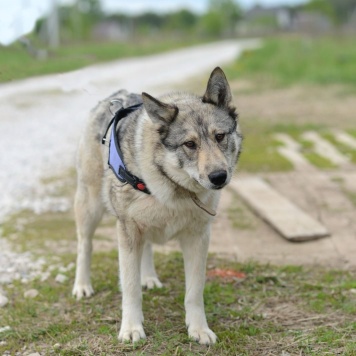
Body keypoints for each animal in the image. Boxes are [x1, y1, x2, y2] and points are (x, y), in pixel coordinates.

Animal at [73, 67, 243, 344]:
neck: (174, 191)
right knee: (84, 246)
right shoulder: (128, 232)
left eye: (220, 137)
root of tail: (115, 96)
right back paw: (82, 286)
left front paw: (199, 330)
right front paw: (131, 329)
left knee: (148, 248)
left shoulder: (198, 238)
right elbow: (130, 288)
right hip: (90, 208)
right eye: (190, 144)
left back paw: (149, 278)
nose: (219, 177)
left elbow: (194, 292)